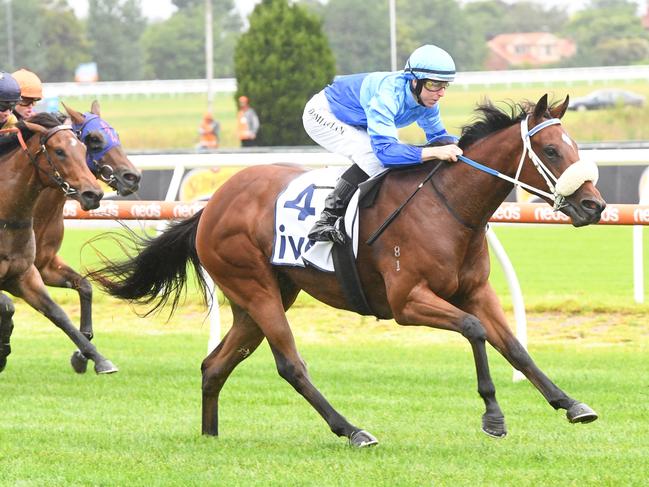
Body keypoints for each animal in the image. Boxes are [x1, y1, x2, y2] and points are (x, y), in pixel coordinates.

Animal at [0, 112, 116, 376]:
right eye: (60, 151)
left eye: (83, 148)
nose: (94, 194)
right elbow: (8, 307)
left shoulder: (25, 274)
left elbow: (58, 313)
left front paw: (96, 358)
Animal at [32, 101, 140, 372]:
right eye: (94, 139)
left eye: (116, 134)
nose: (133, 177)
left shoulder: (44, 265)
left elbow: (86, 287)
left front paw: (82, 355)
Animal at [90, 94, 604, 446]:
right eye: (552, 151)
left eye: (574, 146)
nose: (594, 206)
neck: (449, 208)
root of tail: (212, 204)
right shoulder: (407, 302)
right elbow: (476, 331)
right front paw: (493, 416)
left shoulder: (476, 291)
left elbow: (514, 346)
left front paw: (571, 403)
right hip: (256, 288)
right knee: (290, 365)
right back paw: (352, 430)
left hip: (260, 298)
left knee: (214, 365)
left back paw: (210, 436)